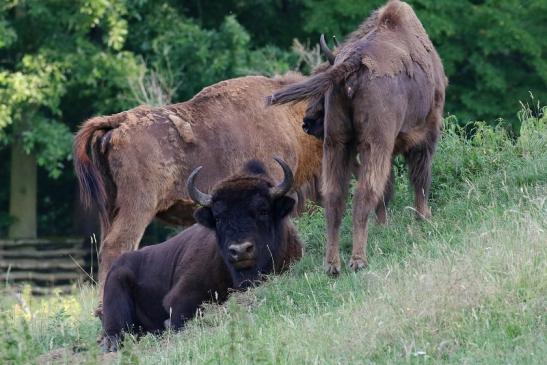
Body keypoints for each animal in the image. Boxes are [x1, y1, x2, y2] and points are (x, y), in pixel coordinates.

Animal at [268, 0, 448, 272]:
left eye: (321, 92)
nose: (307, 123)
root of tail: (354, 61)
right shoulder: (424, 135)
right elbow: (419, 180)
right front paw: (423, 218)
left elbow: (387, 189)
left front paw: (384, 226)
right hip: (374, 143)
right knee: (364, 193)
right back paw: (358, 260)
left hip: (336, 144)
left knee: (335, 197)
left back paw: (332, 264)